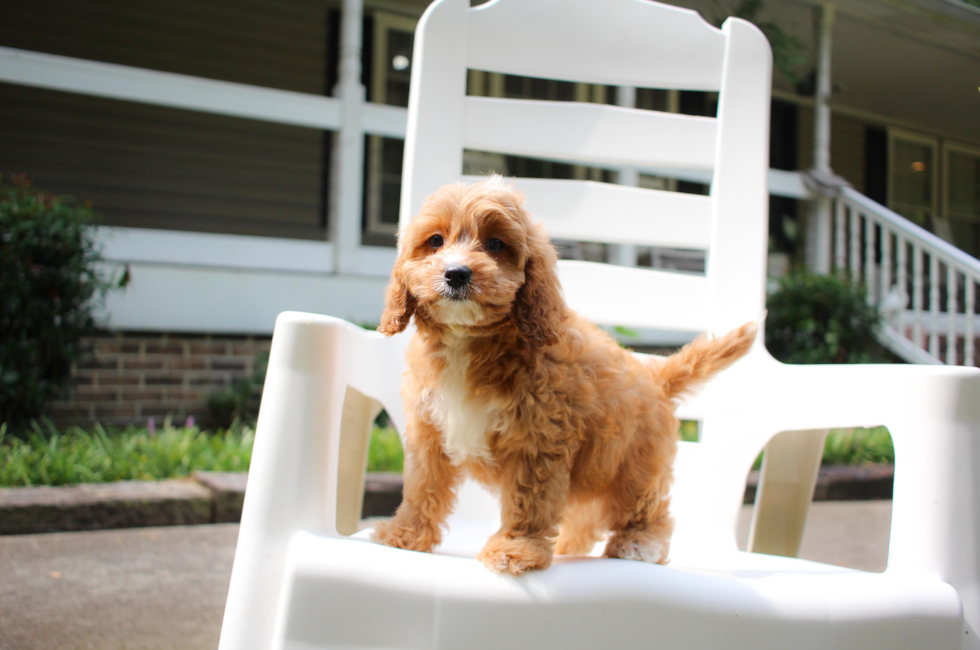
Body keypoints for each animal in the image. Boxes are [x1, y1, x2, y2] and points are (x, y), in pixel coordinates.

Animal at [372, 176, 756, 572]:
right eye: (435, 241)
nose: (457, 273)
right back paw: (571, 546)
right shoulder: (428, 431)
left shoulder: (538, 440)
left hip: (635, 463)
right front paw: (406, 534)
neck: (468, 341)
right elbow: (422, 485)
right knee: (586, 515)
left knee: (645, 505)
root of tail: (656, 376)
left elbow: (527, 500)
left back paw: (639, 544)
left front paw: (515, 549)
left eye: (495, 244)